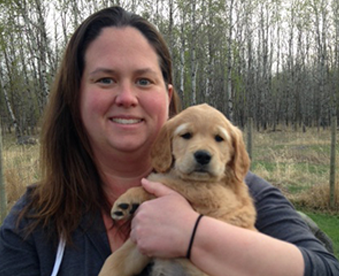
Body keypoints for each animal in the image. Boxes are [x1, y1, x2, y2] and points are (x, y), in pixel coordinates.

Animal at [99, 103, 256, 276]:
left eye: (219, 138)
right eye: (186, 135)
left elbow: (169, 182)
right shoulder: (141, 244)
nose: (203, 156)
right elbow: (115, 260)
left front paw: (129, 199)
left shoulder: (216, 197)